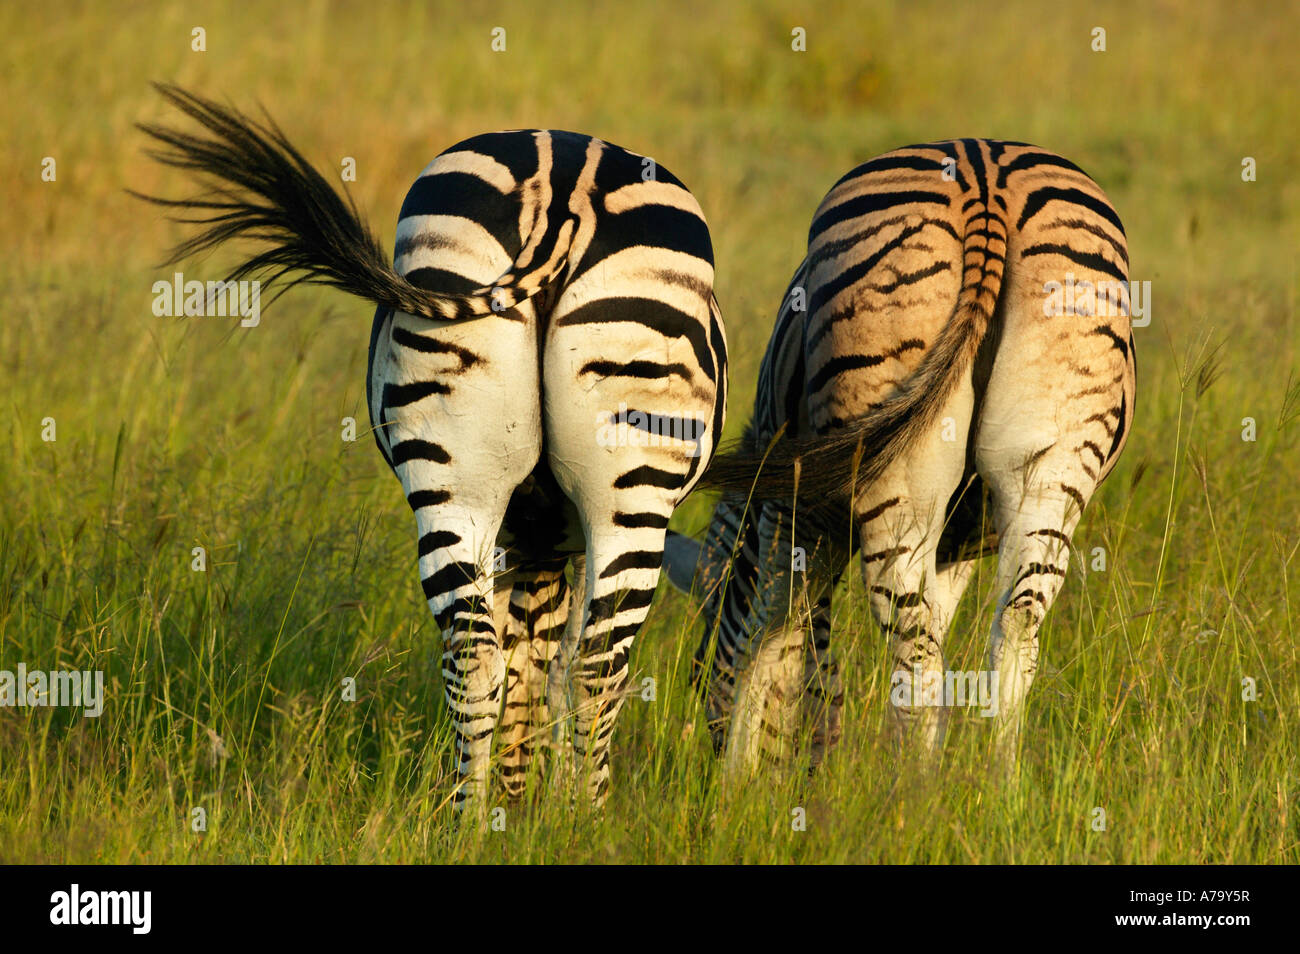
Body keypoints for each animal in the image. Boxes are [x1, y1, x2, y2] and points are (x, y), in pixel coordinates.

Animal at [135, 85, 728, 811]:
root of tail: (565, 191)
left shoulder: (531, 533)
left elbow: (528, 653)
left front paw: (518, 798)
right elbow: (545, 657)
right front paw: (536, 801)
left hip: (462, 478)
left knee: (485, 652)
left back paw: (476, 818)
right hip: (621, 486)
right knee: (590, 664)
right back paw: (579, 817)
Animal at [670, 136, 1138, 779]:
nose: (704, 748)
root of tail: (984, 178)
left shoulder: (793, 510)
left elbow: (778, 634)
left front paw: (749, 779)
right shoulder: (955, 546)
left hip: (891, 463)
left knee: (910, 642)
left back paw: (908, 796)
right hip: (1054, 461)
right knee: (1010, 625)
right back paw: (994, 788)